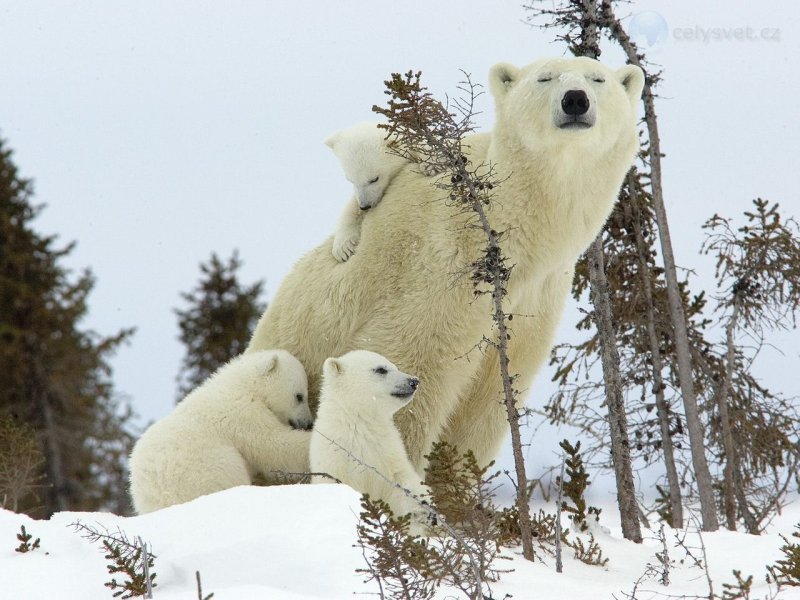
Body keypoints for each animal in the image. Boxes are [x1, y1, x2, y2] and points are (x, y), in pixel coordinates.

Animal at [129, 349, 313, 513]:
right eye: (299, 396)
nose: (308, 423)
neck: (243, 385)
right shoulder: (243, 414)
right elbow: (274, 446)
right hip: (207, 469)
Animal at [310, 350, 430, 522]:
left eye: (395, 366)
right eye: (381, 369)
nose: (414, 381)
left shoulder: (388, 453)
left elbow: (401, 481)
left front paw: (424, 508)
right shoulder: (335, 461)